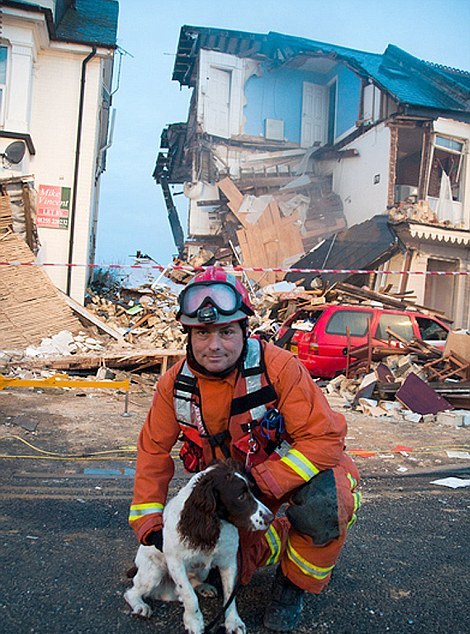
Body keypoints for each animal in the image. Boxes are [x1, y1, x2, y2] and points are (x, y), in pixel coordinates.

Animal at [125, 460, 274, 632]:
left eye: (252, 490)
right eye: (241, 496)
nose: (270, 518)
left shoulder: (228, 561)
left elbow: (230, 595)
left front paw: (233, 622)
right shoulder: (176, 563)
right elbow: (189, 595)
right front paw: (194, 622)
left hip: (202, 570)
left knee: (194, 582)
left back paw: (204, 587)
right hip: (153, 571)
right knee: (131, 592)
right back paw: (140, 606)